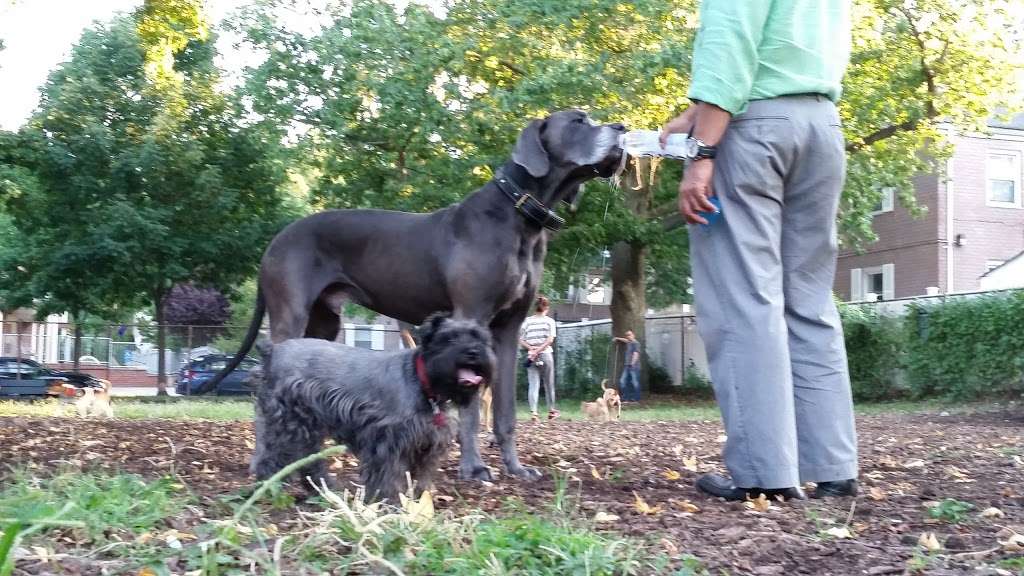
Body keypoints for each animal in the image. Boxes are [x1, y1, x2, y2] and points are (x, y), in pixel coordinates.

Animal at [249, 311, 493, 500]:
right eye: (449, 338)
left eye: (481, 338)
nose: (473, 352)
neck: (423, 381)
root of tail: (273, 351)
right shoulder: (387, 441)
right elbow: (389, 476)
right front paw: (390, 503)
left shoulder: (427, 442)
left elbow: (421, 475)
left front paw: (419, 499)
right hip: (291, 424)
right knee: (275, 457)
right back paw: (270, 488)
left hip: (308, 428)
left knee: (307, 460)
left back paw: (324, 489)